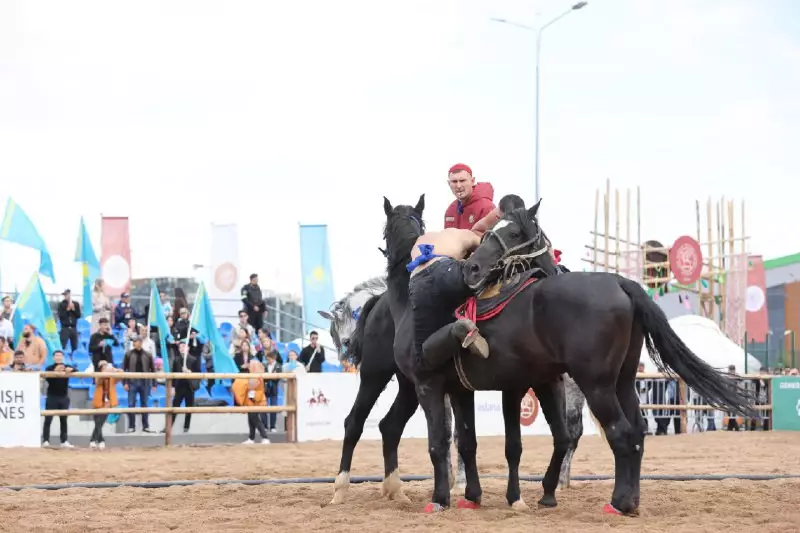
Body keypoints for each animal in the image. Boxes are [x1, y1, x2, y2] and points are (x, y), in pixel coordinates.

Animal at [378, 194, 584, 512]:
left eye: (515, 233)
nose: (473, 269)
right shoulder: (464, 389)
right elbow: (468, 443)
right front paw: (475, 494)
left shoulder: (433, 385)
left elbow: (442, 443)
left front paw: (444, 498)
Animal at [418, 201, 756, 516]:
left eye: (513, 233)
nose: (472, 269)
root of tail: (620, 282)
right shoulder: (542, 383)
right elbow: (552, 438)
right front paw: (541, 492)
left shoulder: (516, 387)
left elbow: (520, 442)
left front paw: (524, 495)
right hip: (622, 383)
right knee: (637, 431)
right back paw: (629, 500)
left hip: (596, 386)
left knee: (620, 432)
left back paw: (618, 503)